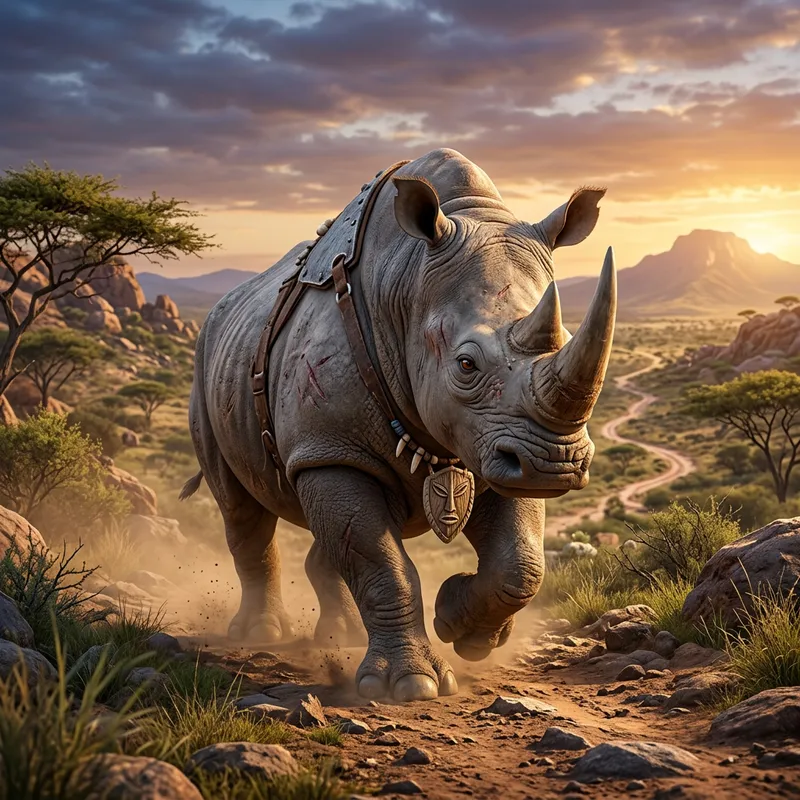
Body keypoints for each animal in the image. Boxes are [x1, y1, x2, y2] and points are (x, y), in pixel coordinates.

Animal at [183, 148, 616, 702]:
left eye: (564, 337)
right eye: (465, 365)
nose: (556, 463)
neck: (407, 282)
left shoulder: (496, 443)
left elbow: (521, 562)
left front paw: (464, 628)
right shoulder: (330, 449)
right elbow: (380, 562)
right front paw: (410, 686)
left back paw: (342, 635)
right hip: (207, 370)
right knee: (242, 510)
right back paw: (261, 634)